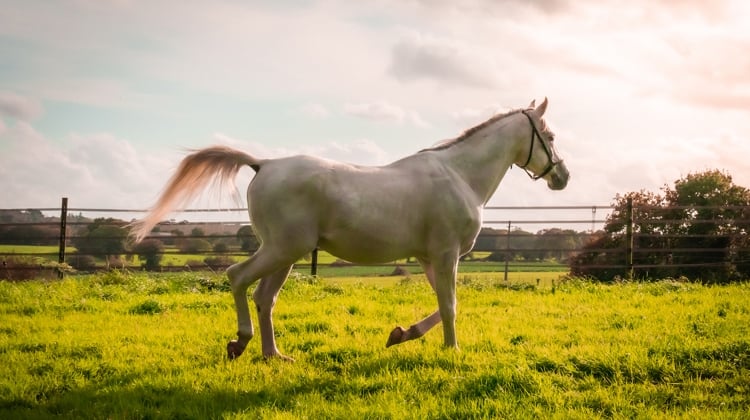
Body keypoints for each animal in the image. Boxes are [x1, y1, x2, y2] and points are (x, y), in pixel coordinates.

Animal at [134, 98, 568, 360]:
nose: (562, 176)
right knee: (237, 277)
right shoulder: (446, 256)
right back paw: (240, 343)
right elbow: (451, 306)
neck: (459, 176)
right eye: (549, 135)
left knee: (264, 297)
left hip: (284, 254)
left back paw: (275, 356)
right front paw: (452, 350)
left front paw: (400, 334)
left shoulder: (430, 258)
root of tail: (264, 164)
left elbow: (442, 306)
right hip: (282, 250)